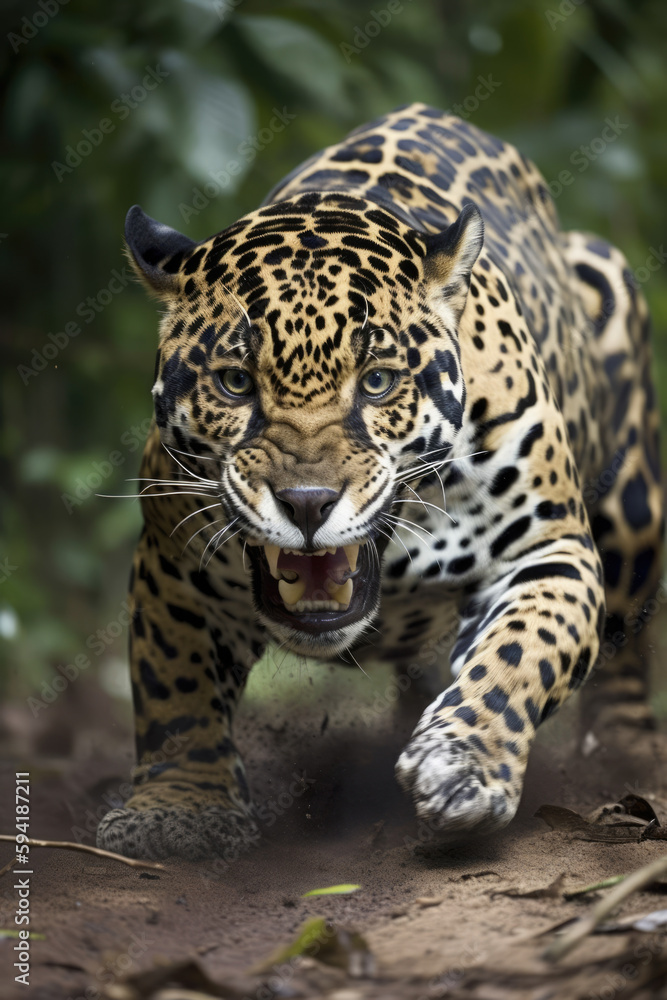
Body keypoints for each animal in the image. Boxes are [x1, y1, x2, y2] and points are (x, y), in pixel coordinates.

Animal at [97, 103, 663, 861]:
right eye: (236, 382)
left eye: (378, 382)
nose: (307, 504)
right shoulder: (172, 563)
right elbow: (174, 691)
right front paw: (178, 808)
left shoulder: (548, 549)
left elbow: (523, 649)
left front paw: (464, 766)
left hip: (631, 495)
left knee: (626, 638)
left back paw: (627, 757)